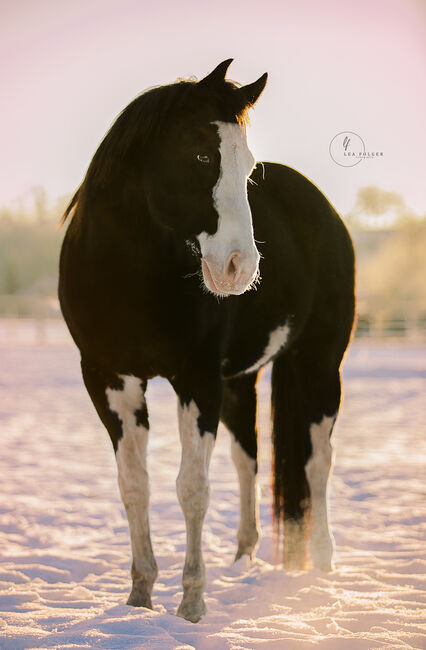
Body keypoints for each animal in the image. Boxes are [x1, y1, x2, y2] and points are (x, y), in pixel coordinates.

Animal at [57, 58, 356, 620]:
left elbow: (192, 488)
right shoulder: (109, 379)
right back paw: (243, 559)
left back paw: (324, 564)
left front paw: (192, 603)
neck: (127, 276)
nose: (240, 267)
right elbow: (135, 485)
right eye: (201, 154)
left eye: (249, 167)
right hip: (240, 382)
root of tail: (323, 209)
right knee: (249, 460)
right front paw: (139, 598)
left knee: (317, 460)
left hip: (320, 365)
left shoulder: (196, 379)